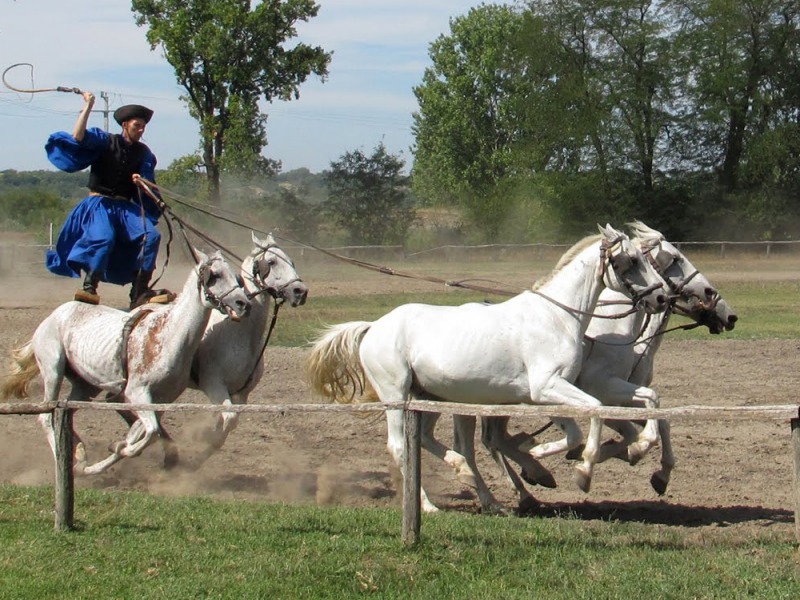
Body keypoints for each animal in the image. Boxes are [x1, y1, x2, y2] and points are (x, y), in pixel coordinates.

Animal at [0, 248, 250, 474]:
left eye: (235, 275)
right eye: (214, 275)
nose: (242, 303)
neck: (168, 335)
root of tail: (53, 316)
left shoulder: (161, 401)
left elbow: (146, 432)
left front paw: (115, 450)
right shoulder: (136, 393)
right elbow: (150, 433)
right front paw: (121, 448)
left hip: (85, 386)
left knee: (67, 412)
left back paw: (80, 455)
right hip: (53, 370)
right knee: (46, 417)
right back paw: (66, 460)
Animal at [123, 232, 308, 466]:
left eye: (292, 261)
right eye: (272, 262)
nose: (300, 291)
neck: (240, 335)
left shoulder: (241, 394)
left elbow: (229, 422)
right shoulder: (213, 385)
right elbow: (227, 418)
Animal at [306, 223, 668, 512]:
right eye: (631, 261)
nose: (661, 298)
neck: (557, 317)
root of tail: (373, 327)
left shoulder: (550, 393)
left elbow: (577, 431)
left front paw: (539, 458)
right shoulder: (548, 388)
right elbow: (594, 410)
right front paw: (579, 470)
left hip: (427, 397)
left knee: (426, 440)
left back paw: (472, 481)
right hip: (396, 395)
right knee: (399, 447)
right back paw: (430, 505)